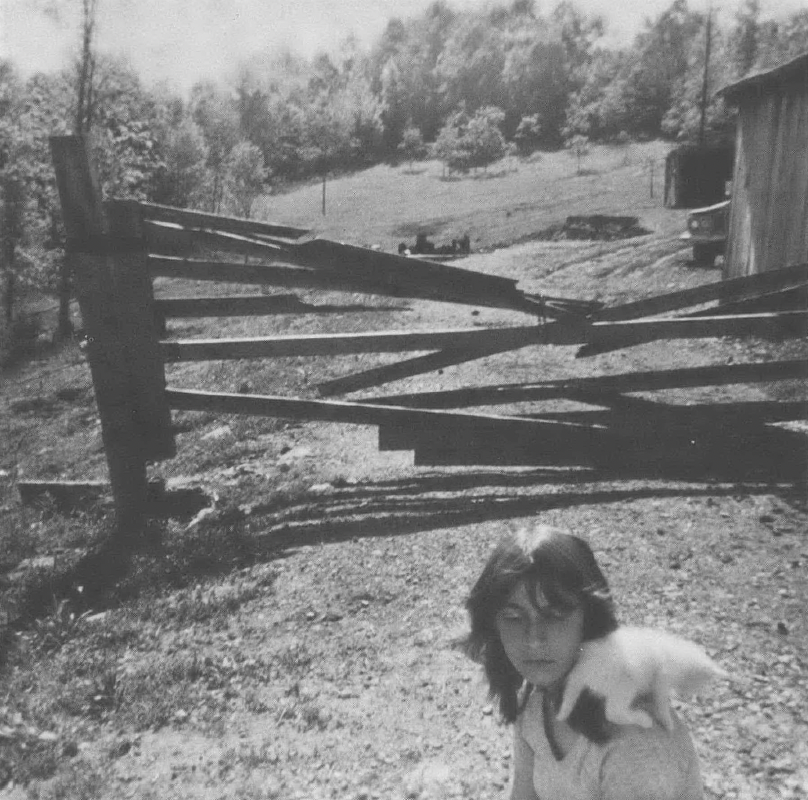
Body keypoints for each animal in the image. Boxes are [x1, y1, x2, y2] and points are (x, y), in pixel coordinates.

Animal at [560, 624, 728, 732]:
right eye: (700, 684)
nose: (697, 695)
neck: (678, 654)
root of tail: (582, 668)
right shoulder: (662, 679)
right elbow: (662, 703)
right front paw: (668, 724)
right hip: (625, 683)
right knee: (613, 712)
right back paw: (642, 719)